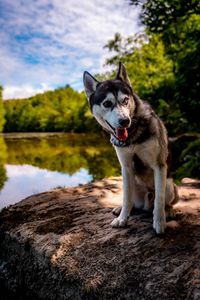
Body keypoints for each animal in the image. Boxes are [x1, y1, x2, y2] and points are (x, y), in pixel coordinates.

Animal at [83, 62, 178, 234]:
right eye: (107, 103)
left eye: (125, 100)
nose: (124, 121)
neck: (133, 137)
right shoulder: (126, 168)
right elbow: (127, 198)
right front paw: (122, 218)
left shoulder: (159, 166)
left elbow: (159, 200)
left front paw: (159, 222)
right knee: (132, 200)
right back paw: (122, 208)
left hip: (170, 186)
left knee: (164, 200)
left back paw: (169, 210)